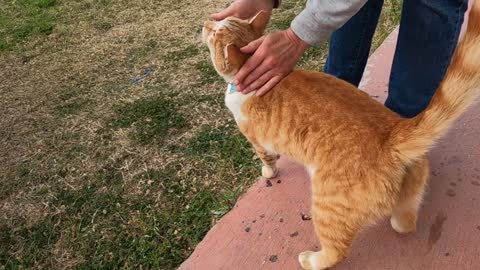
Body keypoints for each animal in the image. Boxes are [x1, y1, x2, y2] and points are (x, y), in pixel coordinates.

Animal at [202, 2, 480, 270]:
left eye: (215, 33)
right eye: (220, 21)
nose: (206, 22)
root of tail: (392, 134)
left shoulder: (255, 139)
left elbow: (267, 158)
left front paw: (268, 172)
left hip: (328, 207)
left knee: (336, 250)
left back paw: (311, 260)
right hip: (409, 195)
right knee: (404, 224)